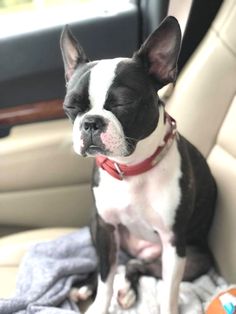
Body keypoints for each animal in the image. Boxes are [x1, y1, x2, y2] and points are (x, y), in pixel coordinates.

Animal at [60, 16, 216, 314]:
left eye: (123, 103)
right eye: (70, 107)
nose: (91, 122)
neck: (130, 169)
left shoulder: (173, 243)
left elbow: (169, 292)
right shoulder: (105, 228)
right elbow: (105, 277)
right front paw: (99, 303)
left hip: (194, 260)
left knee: (137, 266)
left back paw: (128, 289)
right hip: (96, 225)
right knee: (115, 264)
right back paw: (86, 286)